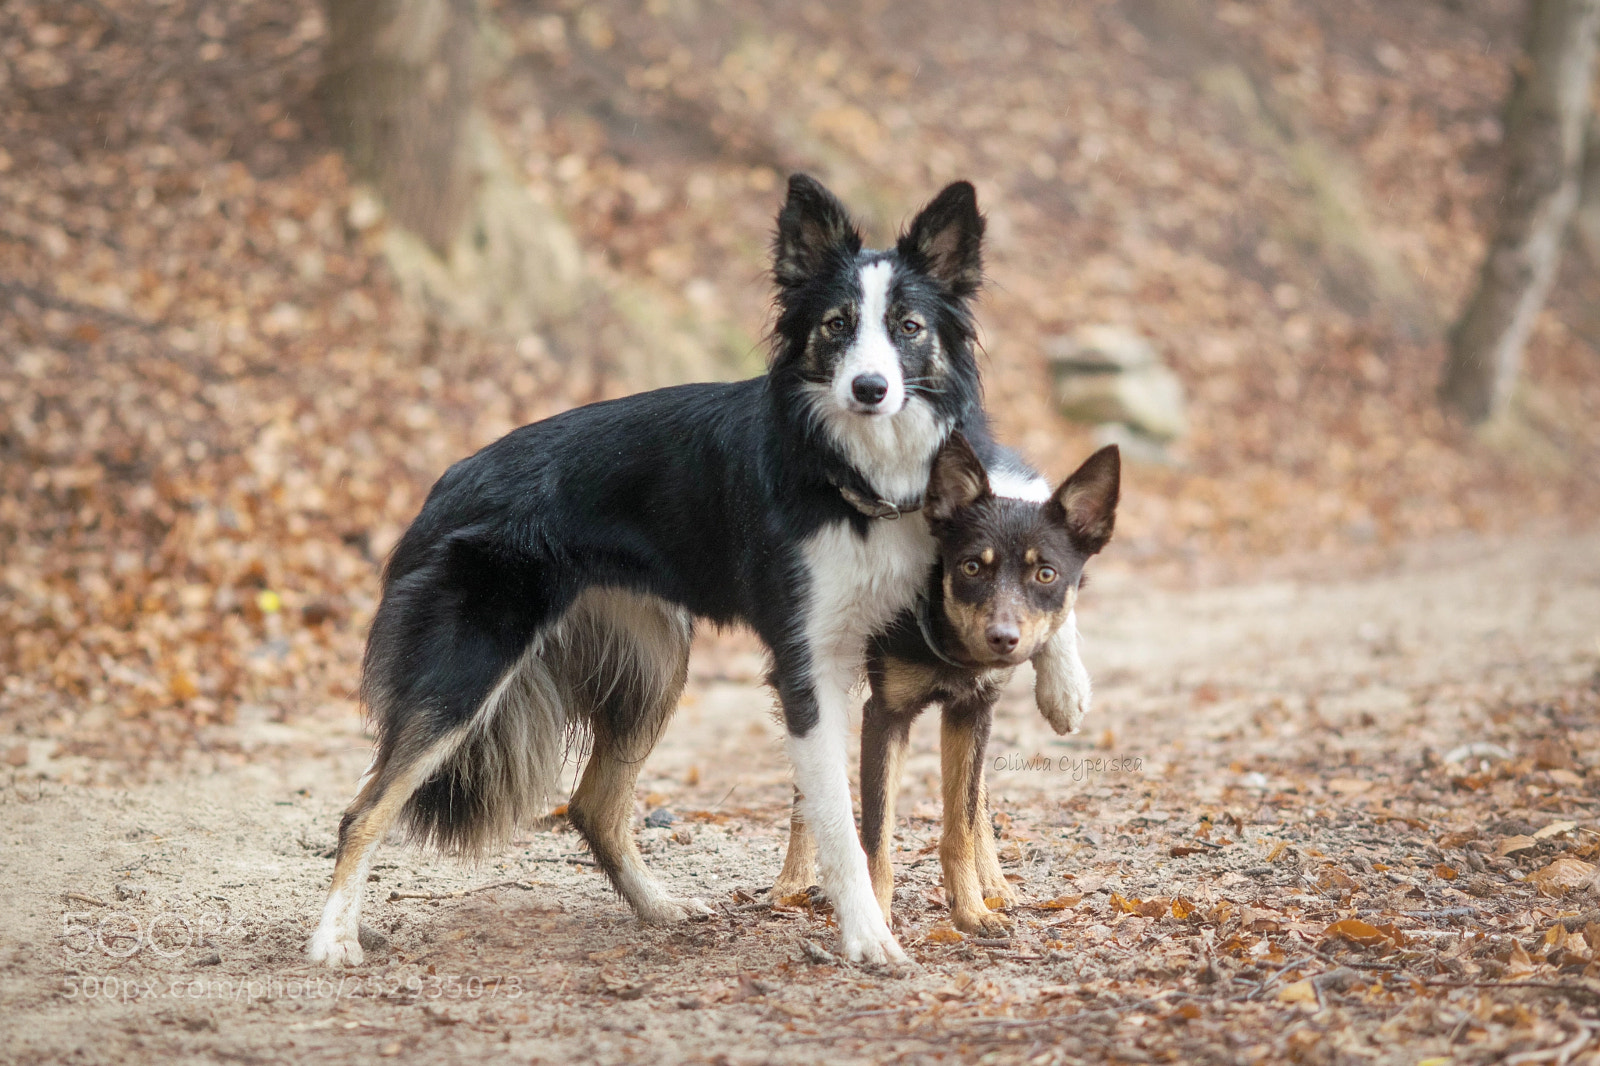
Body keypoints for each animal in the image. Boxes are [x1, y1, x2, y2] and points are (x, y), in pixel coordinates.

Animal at [768, 432, 1120, 928]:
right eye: (971, 567)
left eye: (1046, 573)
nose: (1003, 639)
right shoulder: (886, 715)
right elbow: (876, 834)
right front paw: (878, 913)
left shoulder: (970, 710)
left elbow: (961, 823)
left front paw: (971, 909)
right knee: (808, 786)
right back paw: (793, 877)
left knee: (978, 800)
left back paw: (994, 882)